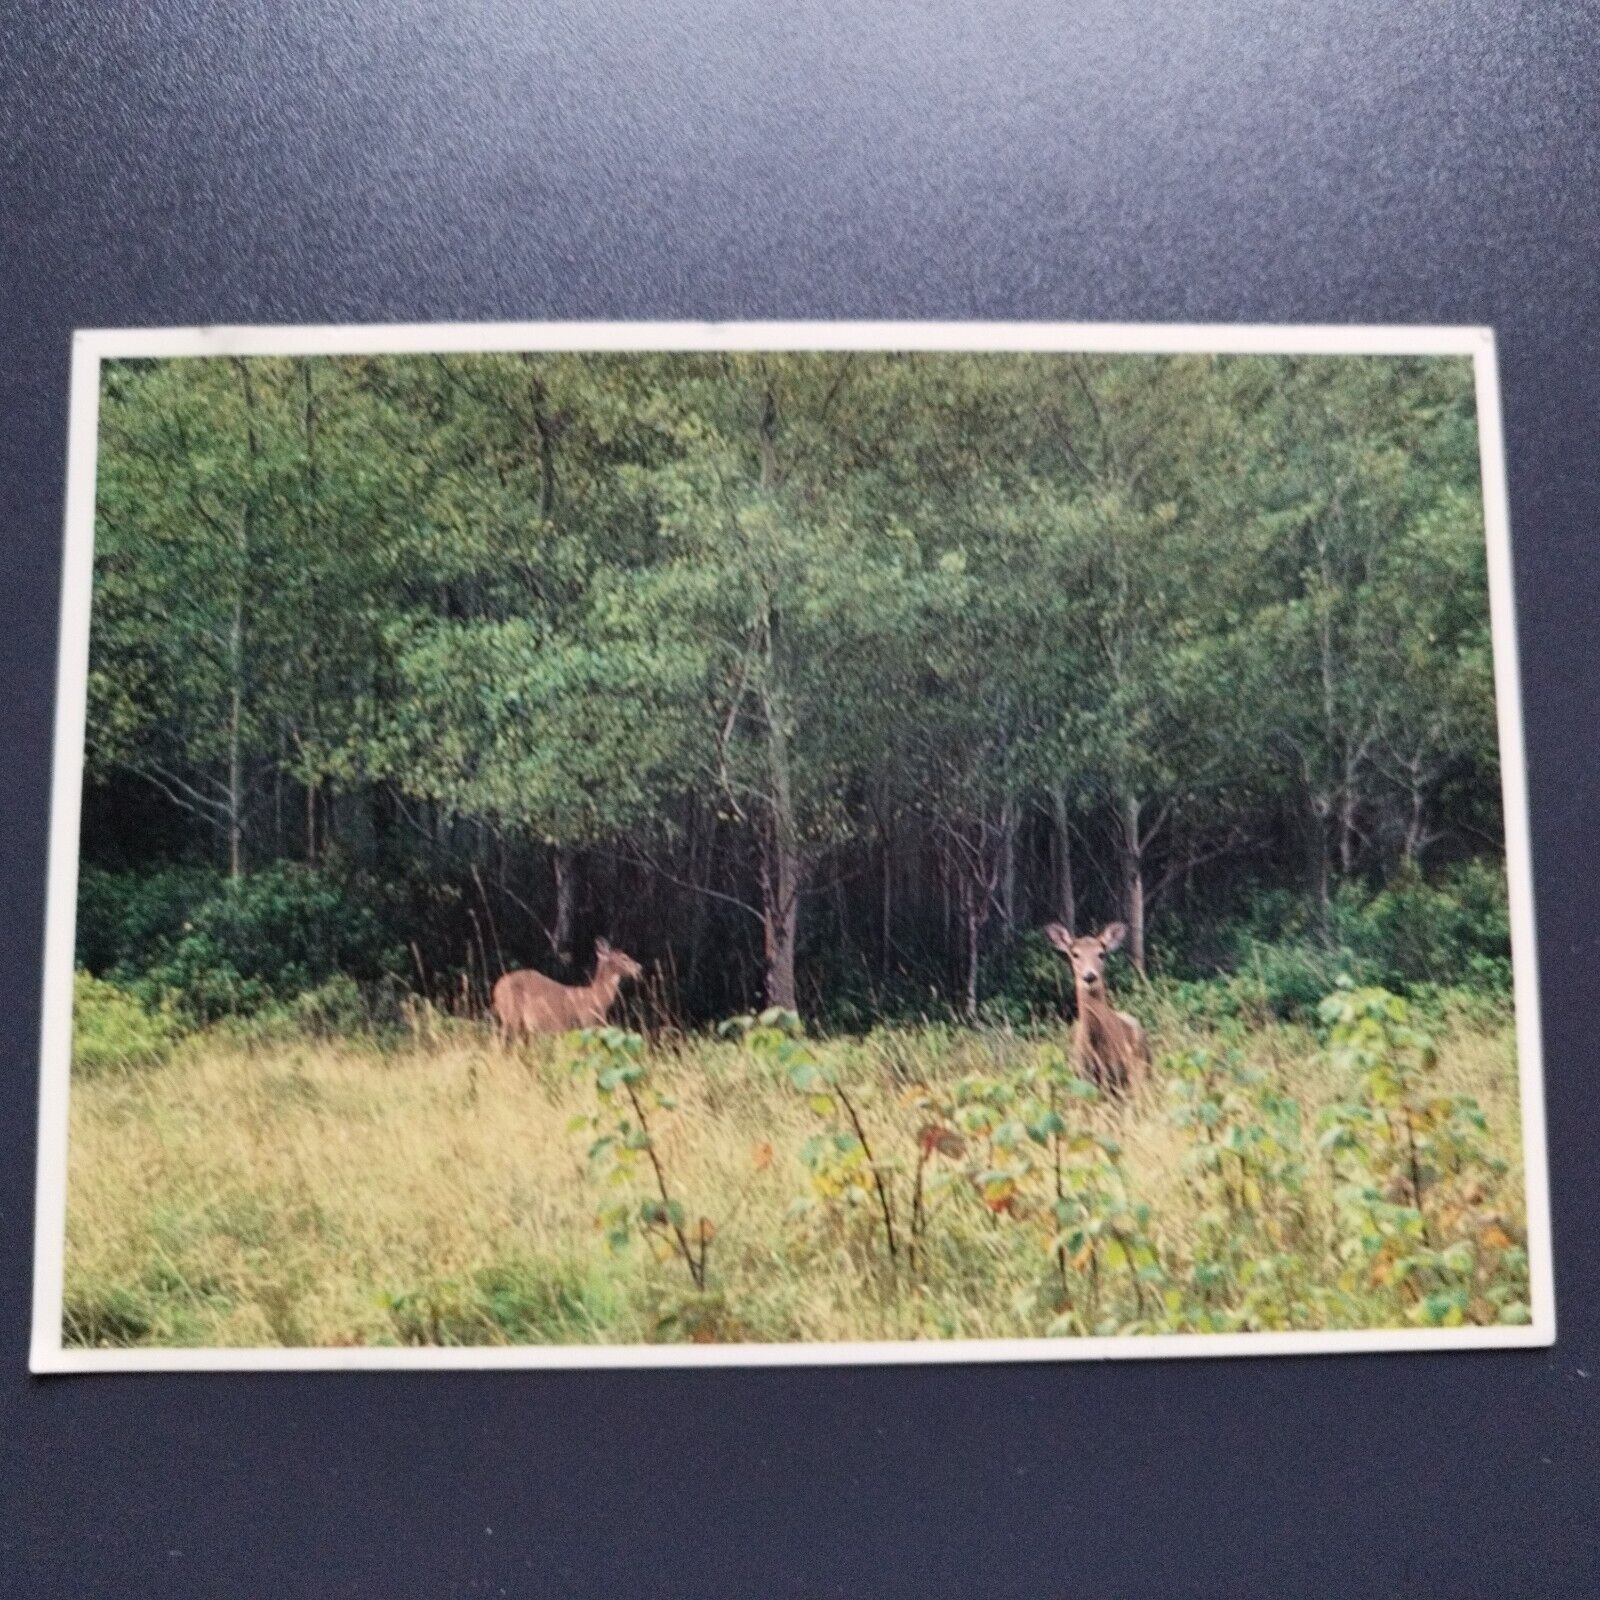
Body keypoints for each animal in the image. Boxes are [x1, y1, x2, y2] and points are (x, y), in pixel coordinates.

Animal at [489, 934, 640, 1043]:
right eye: (624, 957)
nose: (639, 967)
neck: (597, 998)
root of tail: (496, 988)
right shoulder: (585, 1022)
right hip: (510, 1016)